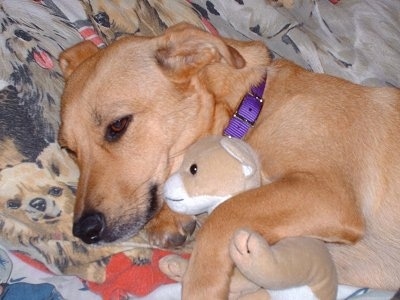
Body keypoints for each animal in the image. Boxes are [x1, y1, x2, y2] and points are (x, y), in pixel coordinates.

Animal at [58, 22, 400, 298]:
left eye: (117, 126)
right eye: (69, 150)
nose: (84, 231)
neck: (249, 113)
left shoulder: (328, 193)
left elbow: (225, 214)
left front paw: (200, 284)